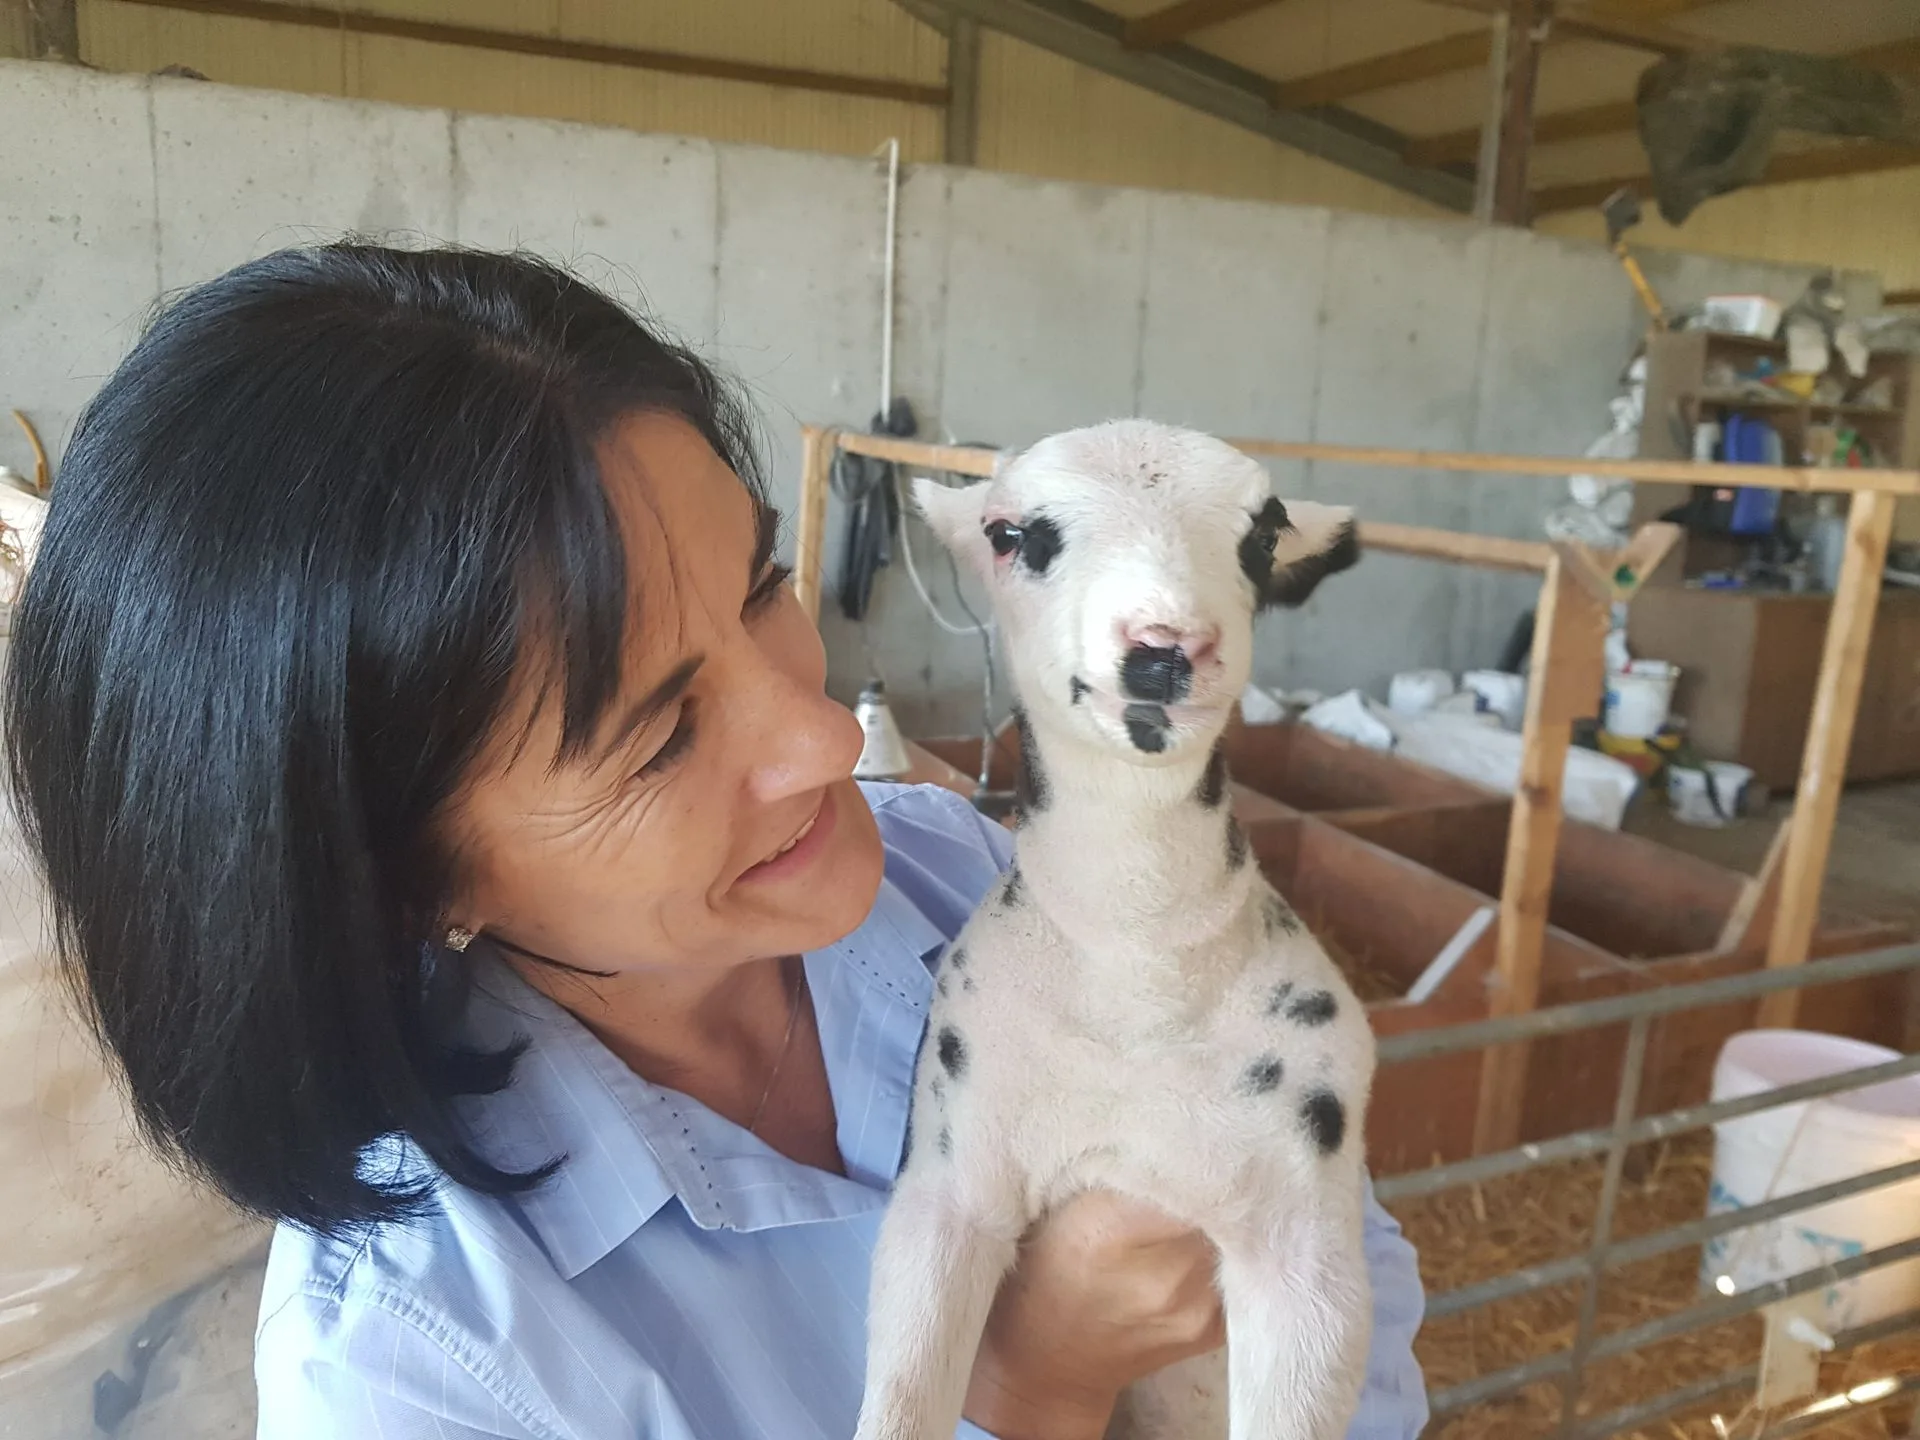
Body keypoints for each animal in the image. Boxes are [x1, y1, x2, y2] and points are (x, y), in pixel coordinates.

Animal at [855, 420, 1375, 1440]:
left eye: (1264, 537)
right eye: (1009, 533)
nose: (1166, 648)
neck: (1142, 977)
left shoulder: (1307, 1231)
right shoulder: (950, 1177)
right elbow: (902, 1390)